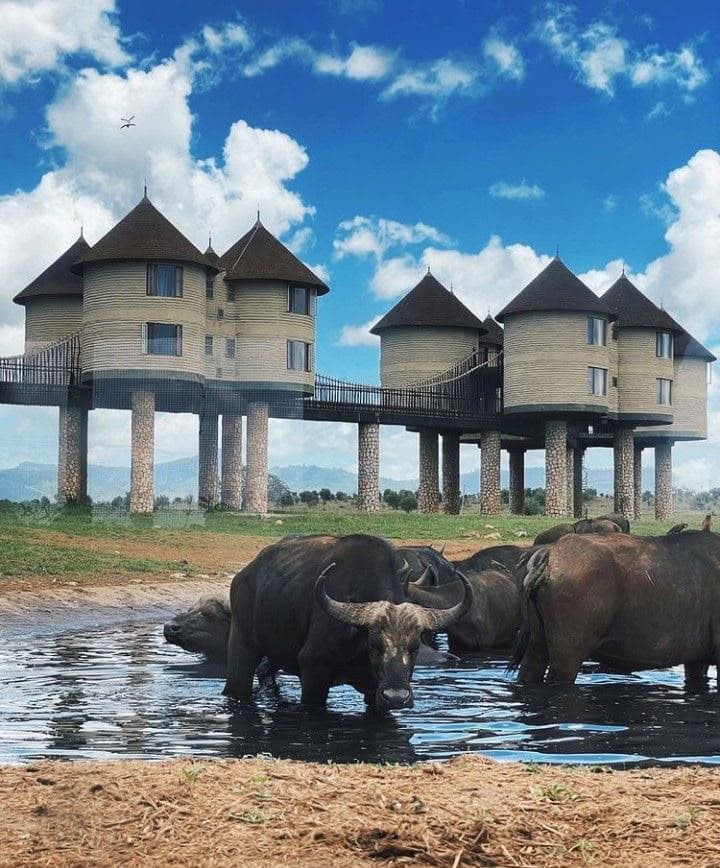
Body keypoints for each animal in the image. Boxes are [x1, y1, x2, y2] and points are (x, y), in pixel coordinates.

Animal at [224, 534, 471, 709]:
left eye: (415, 647)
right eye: (375, 645)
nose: (396, 697)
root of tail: (244, 575)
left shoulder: (374, 691)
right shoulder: (313, 671)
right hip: (242, 648)